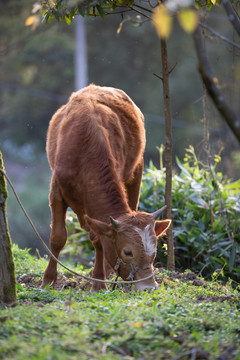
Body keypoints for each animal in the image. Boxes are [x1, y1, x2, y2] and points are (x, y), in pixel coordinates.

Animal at [42, 85, 172, 292]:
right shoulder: (57, 192)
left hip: (137, 171)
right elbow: (58, 237)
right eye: (128, 252)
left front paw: (98, 281)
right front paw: (48, 280)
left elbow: (99, 242)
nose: (148, 286)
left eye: (154, 252)